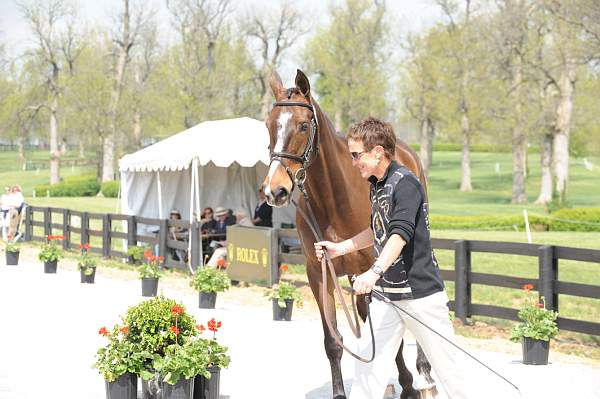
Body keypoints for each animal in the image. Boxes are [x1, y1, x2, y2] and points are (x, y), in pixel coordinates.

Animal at [262, 69, 436, 399]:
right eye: (268, 125)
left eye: (303, 125)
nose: (274, 190)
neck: (334, 200)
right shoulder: (319, 272)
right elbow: (334, 341)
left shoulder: (374, 271)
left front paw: (409, 383)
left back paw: (423, 374)